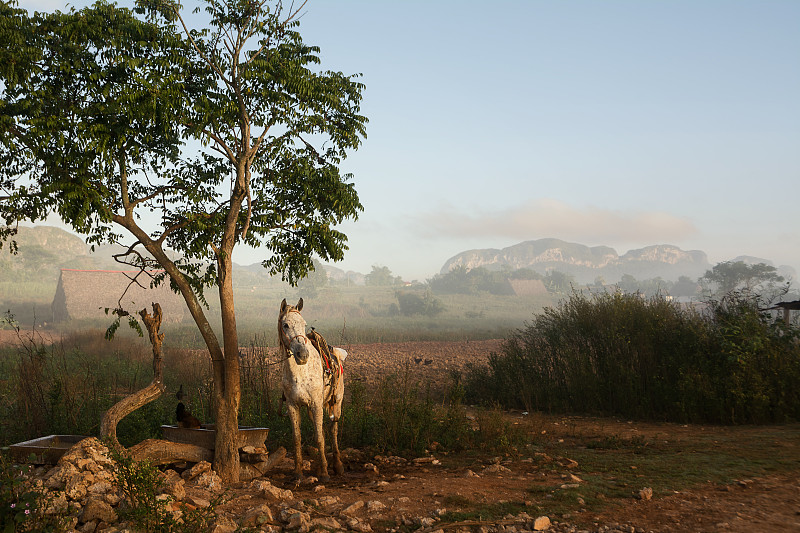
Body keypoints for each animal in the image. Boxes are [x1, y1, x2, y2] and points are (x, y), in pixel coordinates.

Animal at [278, 298, 346, 480]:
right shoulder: (293, 406)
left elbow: (319, 438)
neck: (300, 373)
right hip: (313, 408)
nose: (302, 355)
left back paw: (337, 465)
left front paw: (325, 474)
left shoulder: (316, 404)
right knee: (322, 430)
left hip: (336, 403)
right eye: (285, 325)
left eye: (304, 324)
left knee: (333, 429)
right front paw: (298, 472)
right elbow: (297, 438)